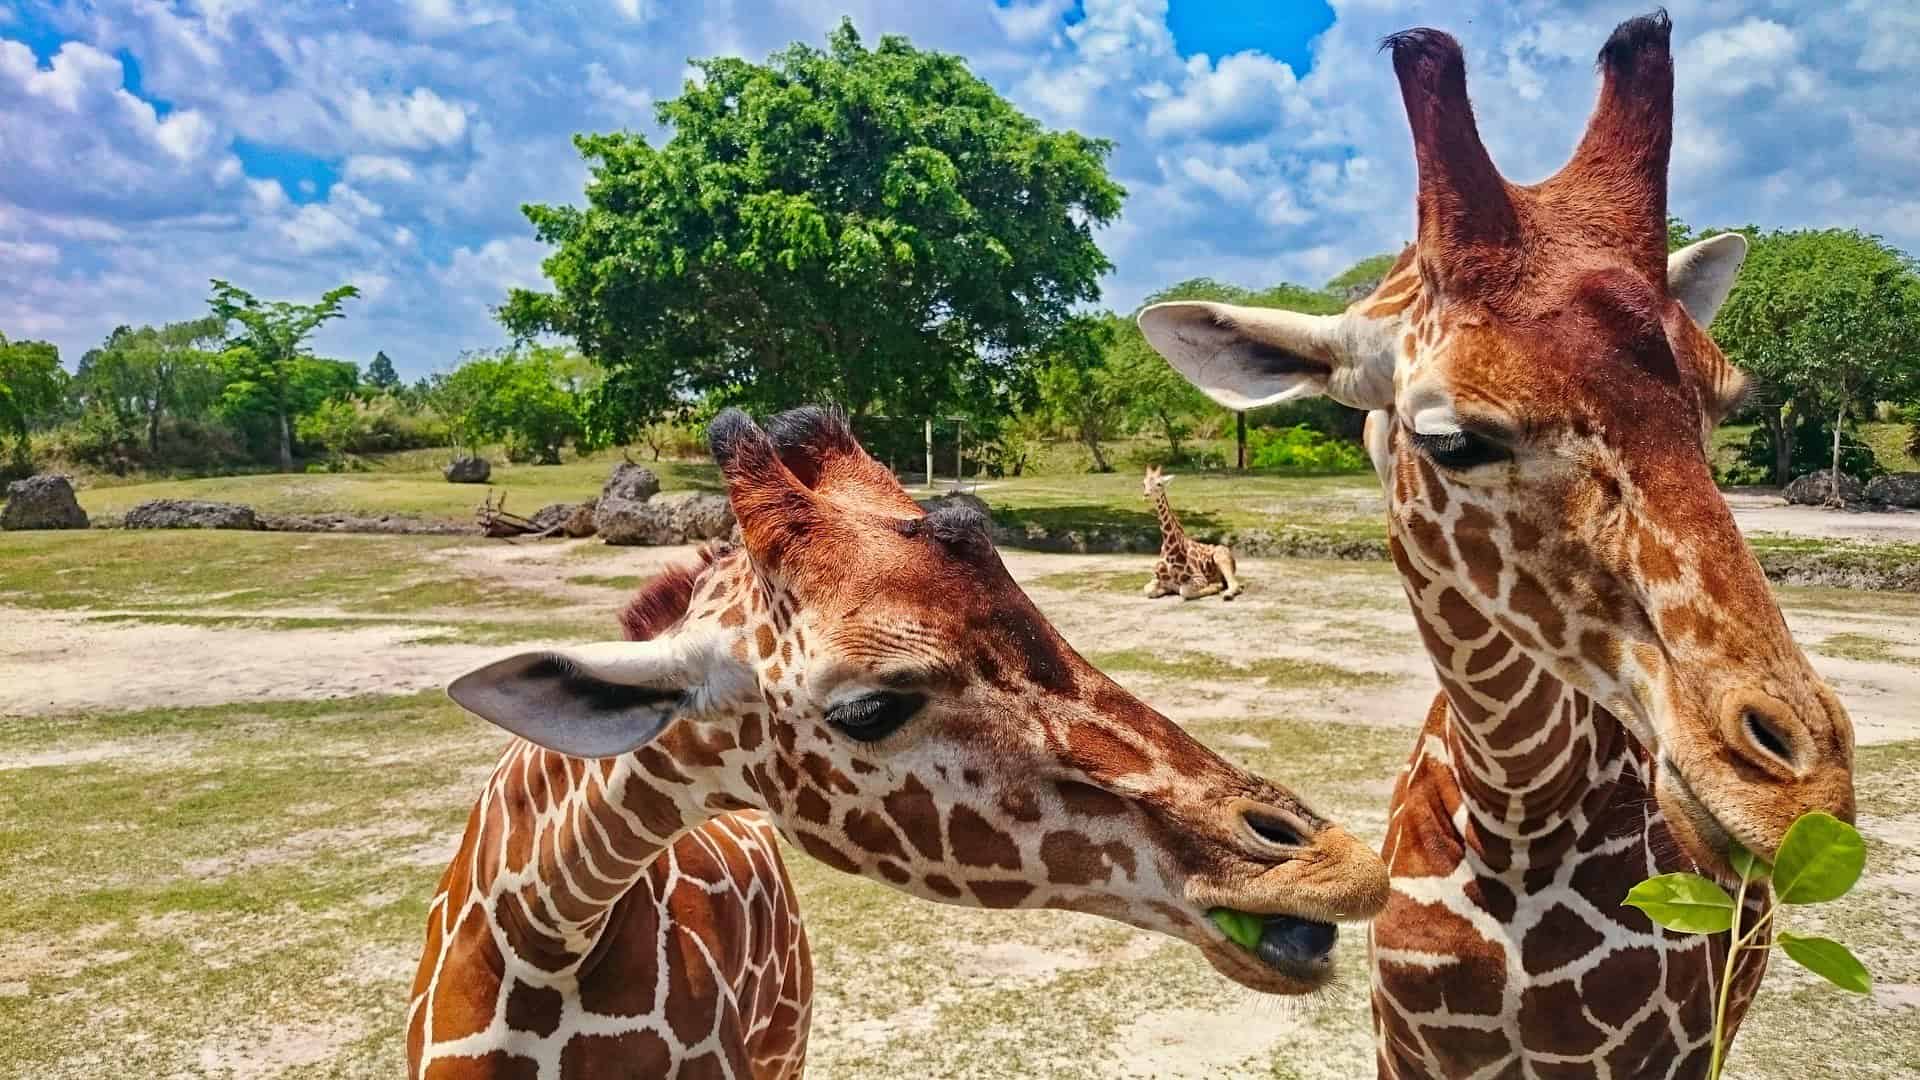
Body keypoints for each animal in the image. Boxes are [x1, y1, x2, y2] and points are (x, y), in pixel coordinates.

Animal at [1136, 461, 1244, 599]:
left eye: (1159, 484)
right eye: (1143, 483)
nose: (1146, 496)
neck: (1170, 551)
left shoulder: (1199, 578)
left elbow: (1184, 591)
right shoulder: (1155, 578)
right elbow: (1148, 590)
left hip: (1221, 556)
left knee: (1235, 584)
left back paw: (1225, 593)